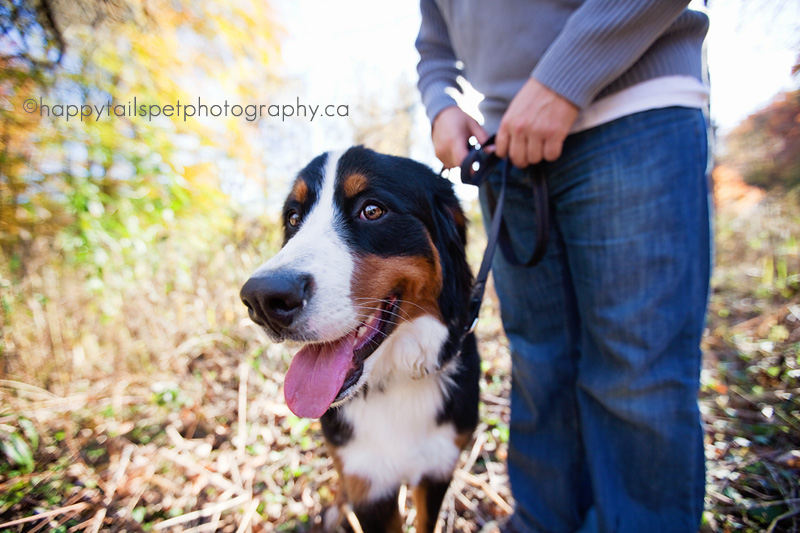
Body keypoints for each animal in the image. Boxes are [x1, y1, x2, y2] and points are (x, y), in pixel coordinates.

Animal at [241, 147, 478, 532]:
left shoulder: (437, 469)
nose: (261, 299)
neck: (394, 383)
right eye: (293, 218)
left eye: (372, 210)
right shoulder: (368, 484)